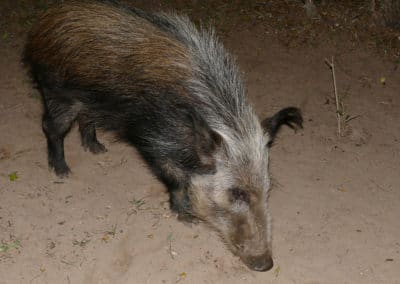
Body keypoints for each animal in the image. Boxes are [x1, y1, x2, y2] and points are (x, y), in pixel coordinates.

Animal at [23, 0, 302, 270]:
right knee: (51, 127)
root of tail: (42, 24)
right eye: (236, 193)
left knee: (85, 118)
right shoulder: (154, 141)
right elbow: (175, 180)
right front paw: (187, 219)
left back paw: (97, 149)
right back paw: (63, 172)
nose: (266, 264)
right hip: (56, 91)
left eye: (267, 188)